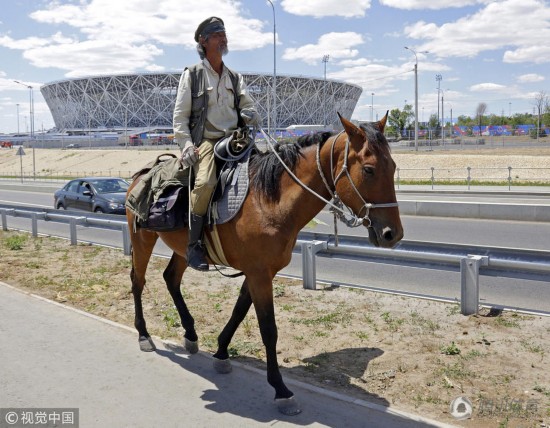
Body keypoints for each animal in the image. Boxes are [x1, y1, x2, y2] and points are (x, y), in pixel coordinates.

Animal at [127, 113, 404, 414]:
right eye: (368, 170)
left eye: (393, 167)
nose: (392, 234)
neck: (269, 203)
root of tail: (140, 174)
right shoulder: (259, 275)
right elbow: (268, 329)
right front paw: (280, 389)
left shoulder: (257, 273)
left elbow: (238, 312)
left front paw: (221, 352)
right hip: (142, 240)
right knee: (138, 282)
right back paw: (143, 334)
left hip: (182, 251)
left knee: (171, 278)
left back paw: (190, 333)